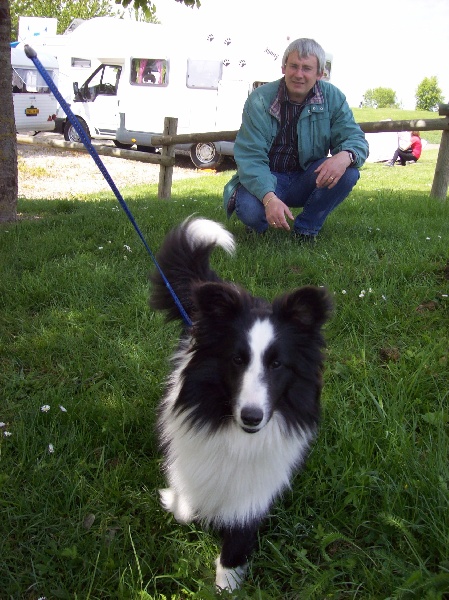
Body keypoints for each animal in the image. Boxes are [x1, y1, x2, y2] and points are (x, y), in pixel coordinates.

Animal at [149, 218, 330, 592]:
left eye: (277, 364)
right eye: (236, 359)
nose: (251, 417)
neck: (237, 436)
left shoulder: (259, 481)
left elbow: (242, 522)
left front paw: (227, 579)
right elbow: (186, 499)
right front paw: (175, 500)